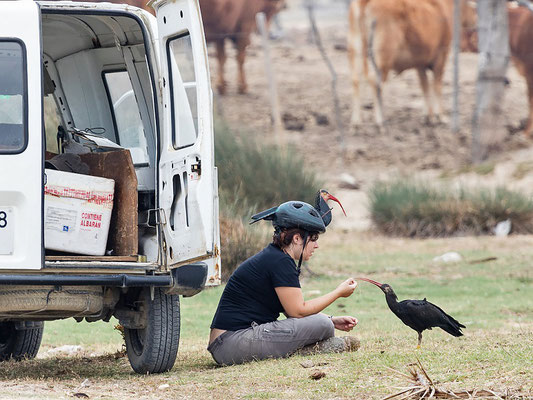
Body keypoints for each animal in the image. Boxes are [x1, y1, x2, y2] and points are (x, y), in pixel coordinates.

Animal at [348, 0, 476, 128]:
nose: (475, 22)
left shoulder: (420, 63)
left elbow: (425, 86)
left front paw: (428, 116)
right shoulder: (441, 56)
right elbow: (437, 85)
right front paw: (441, 117)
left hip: (356, 51)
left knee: (356, 81)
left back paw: (356, 122)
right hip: (383, 59)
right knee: (375, 83)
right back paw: (380, 122)